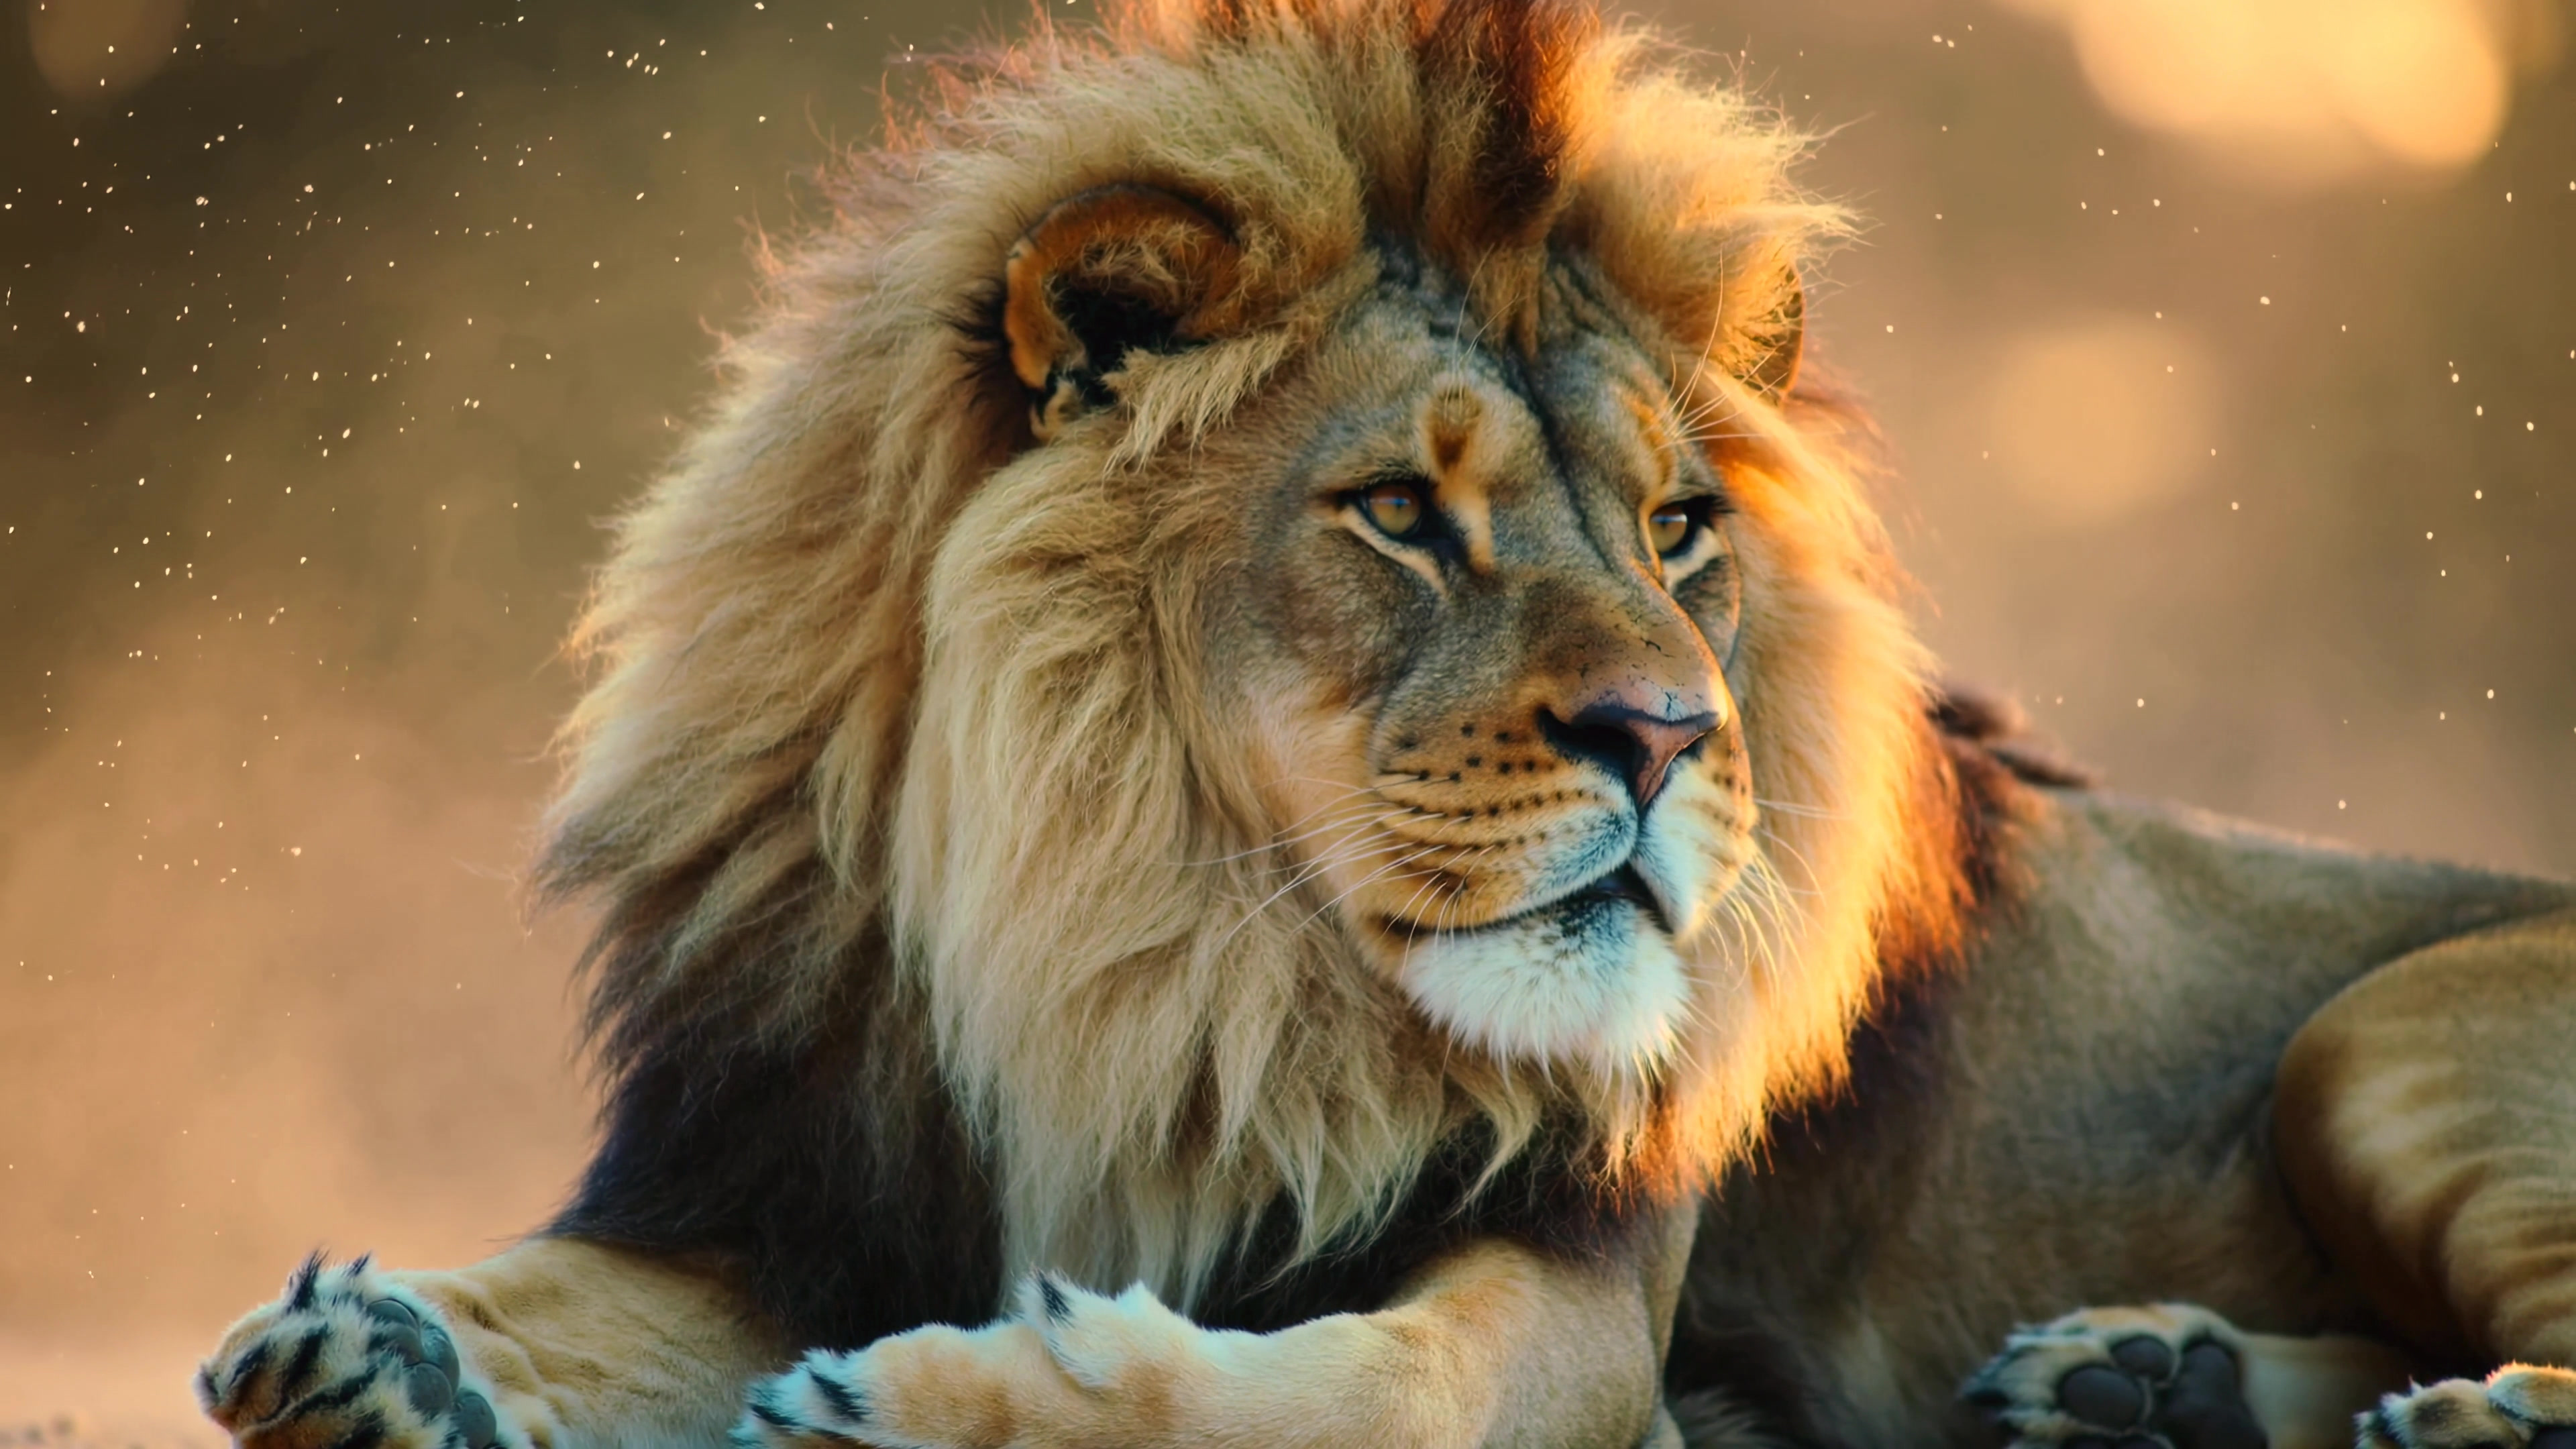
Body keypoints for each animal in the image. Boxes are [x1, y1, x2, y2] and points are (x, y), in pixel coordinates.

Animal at [194, 2, 2576, 1447]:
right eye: (1401, 518)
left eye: (1681, 527)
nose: (1668, 740)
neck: (1147, 944)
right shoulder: (788, 1186)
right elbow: (566, 1296)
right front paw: (379, 1347)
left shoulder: (1589, 1312)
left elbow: (1354, 1391)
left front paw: (953, 1397)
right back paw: (2141, 1383)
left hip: (2381, 1032)